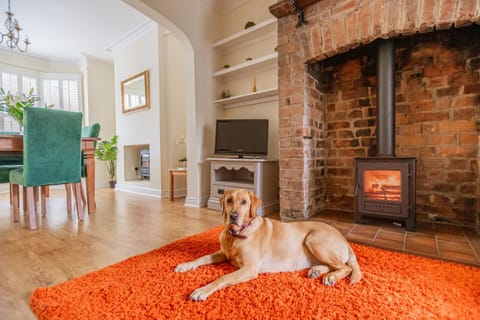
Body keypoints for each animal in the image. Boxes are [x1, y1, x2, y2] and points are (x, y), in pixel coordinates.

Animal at [174, 188, 362, 300]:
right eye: (229, 200)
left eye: (244, 202)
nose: (233, 216)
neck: (236, 235)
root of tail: (344, 239)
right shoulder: (223, 254)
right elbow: (203, 257)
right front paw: (185, 265)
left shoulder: (249, 268)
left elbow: (223, 278)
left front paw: (202, 290)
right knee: (334, 265)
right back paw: (317, 270)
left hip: (313, 239)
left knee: (346, 267)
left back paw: (330, 277)